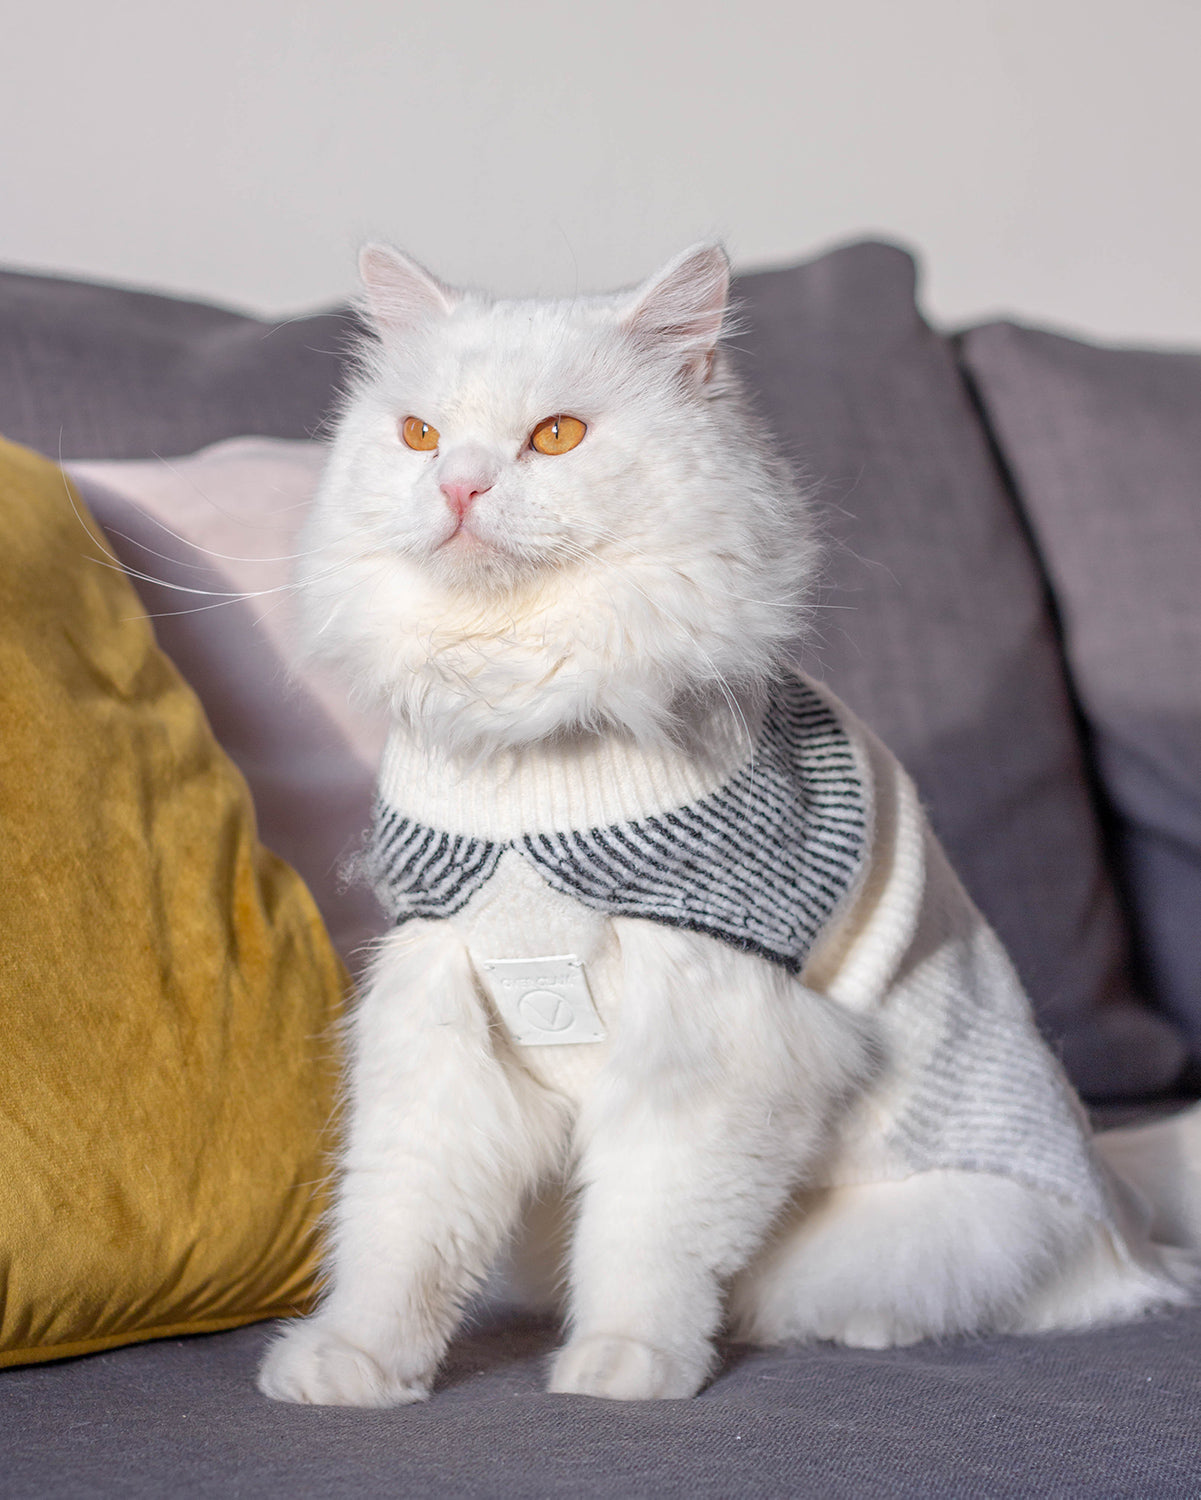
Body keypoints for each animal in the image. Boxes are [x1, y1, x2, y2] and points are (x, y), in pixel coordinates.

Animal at [257, 243, 1193, 1404]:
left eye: (554, 437)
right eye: (419, 436)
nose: (459, 488)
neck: (522, 725)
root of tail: (1123, 1202)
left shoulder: (708, 1034)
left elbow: (644, 1236)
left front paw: (621, 1367)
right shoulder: (438, 1008)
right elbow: (400, 1225)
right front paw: (351, 1365)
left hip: (901, 1231)